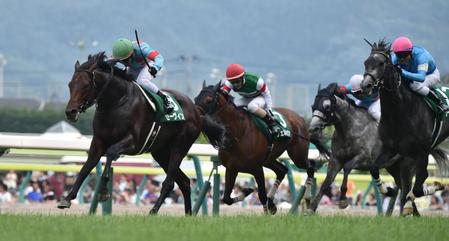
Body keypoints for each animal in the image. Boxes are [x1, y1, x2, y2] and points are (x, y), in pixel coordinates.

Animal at [57, 52, 222, 215]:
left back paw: (154, 210)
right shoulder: (98, 141)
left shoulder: (133, 143)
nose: (70, 112)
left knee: (170, 182)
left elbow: (110, 153)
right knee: (185, 182)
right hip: (161, 153)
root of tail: (196, 110)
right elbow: (86, 167)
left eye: (86, 85)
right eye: (70, 85)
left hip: (179, 147)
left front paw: (103, 192)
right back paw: (188, 214)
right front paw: (67, 198)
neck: (117, 102)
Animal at [193, 82, 328, 214]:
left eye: (209, 100)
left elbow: (262, 195)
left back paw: (308, 198)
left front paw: (265, 210)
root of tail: (301, 119)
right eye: (195, 98)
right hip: (269, 159)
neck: (239, 133)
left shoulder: (257, 169)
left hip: (297, 155)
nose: (196, 115)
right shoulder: (232, 168)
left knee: (310, 166)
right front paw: (247, 191)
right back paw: (272, 202)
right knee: (282, 170)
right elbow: (226, 198)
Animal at [360, 40, 448, 216]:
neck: (400, 113)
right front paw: (387, 190)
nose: (366, 85)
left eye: (381, 63)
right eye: (366, 62)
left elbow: (418, 188)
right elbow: (374, 168)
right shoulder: (390, 149)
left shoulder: (422, 153)